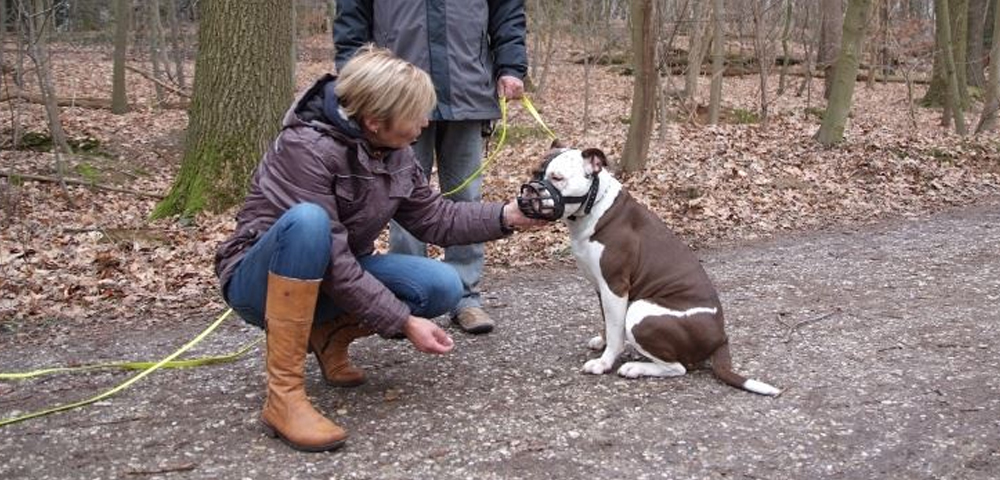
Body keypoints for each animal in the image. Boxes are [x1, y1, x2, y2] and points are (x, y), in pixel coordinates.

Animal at [520, 148, 784, 396]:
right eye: (535, 172)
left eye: (557, 178)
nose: (529, 193)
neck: (595, 206)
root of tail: (721, 338)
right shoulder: (602, 288)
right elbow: (608, 323)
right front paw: (602, 343)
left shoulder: (615, 287)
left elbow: (615, 332)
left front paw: (605, 362)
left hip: (640, 312)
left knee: (678, 368)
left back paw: (635, 368)